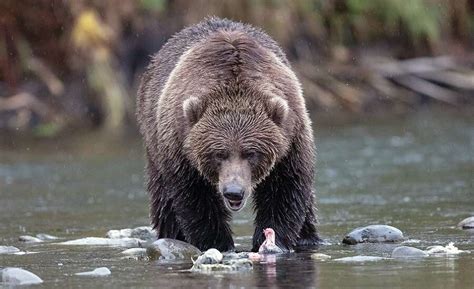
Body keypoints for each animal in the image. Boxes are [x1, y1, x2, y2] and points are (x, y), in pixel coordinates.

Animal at [135, 16, 320, 251]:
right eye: (218, 153)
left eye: (251, 153)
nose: (234, 191)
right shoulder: (180, 145)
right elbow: (195, 198)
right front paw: (218, 242)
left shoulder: (291, 139)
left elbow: (285, 190)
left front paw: (274, 240)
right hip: (154, 140)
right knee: (164, 199)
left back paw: (308, 236)